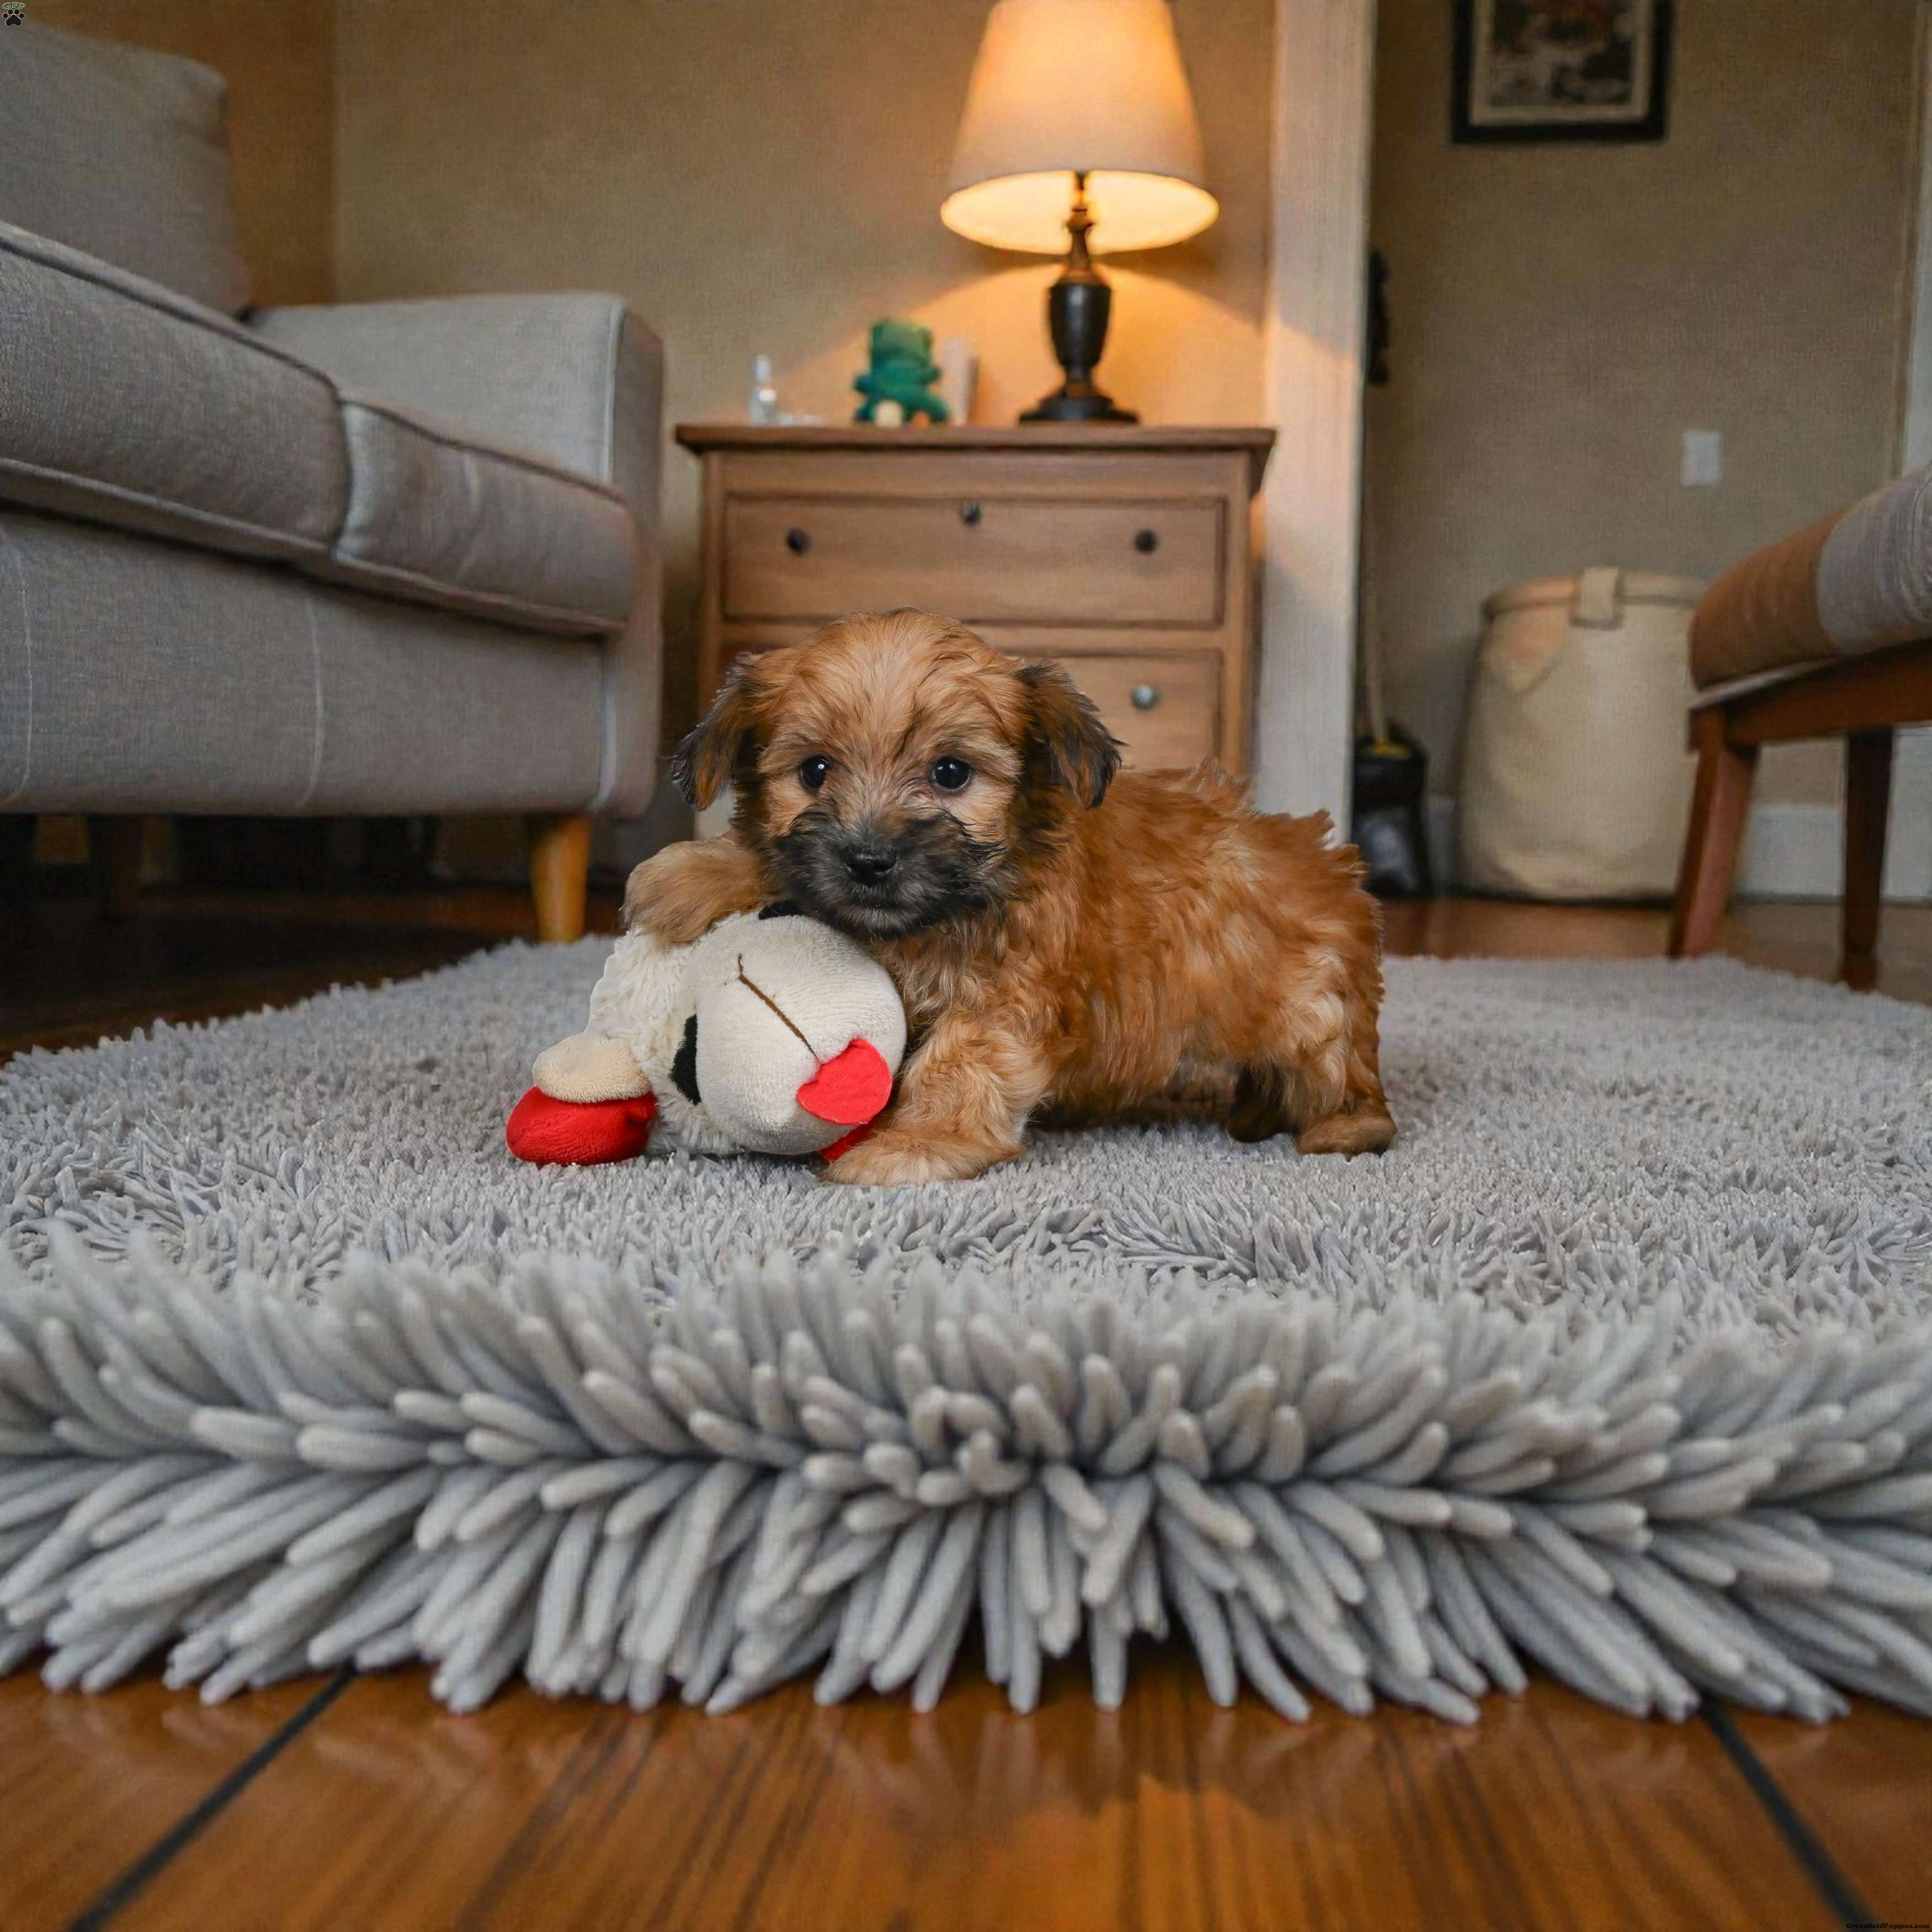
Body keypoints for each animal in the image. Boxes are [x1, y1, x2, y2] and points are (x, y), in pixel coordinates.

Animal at [623, 609, 1396, 1185]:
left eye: (951, 773)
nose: (869, 861)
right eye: (814, 771)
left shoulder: (1005, 999)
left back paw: (1345, 1126)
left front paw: (914, 1143)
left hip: (1312, 1007)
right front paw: (694, 874)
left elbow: (956, 1064)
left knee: (1344, 1071)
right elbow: (786, 864)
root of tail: (1324, 859)